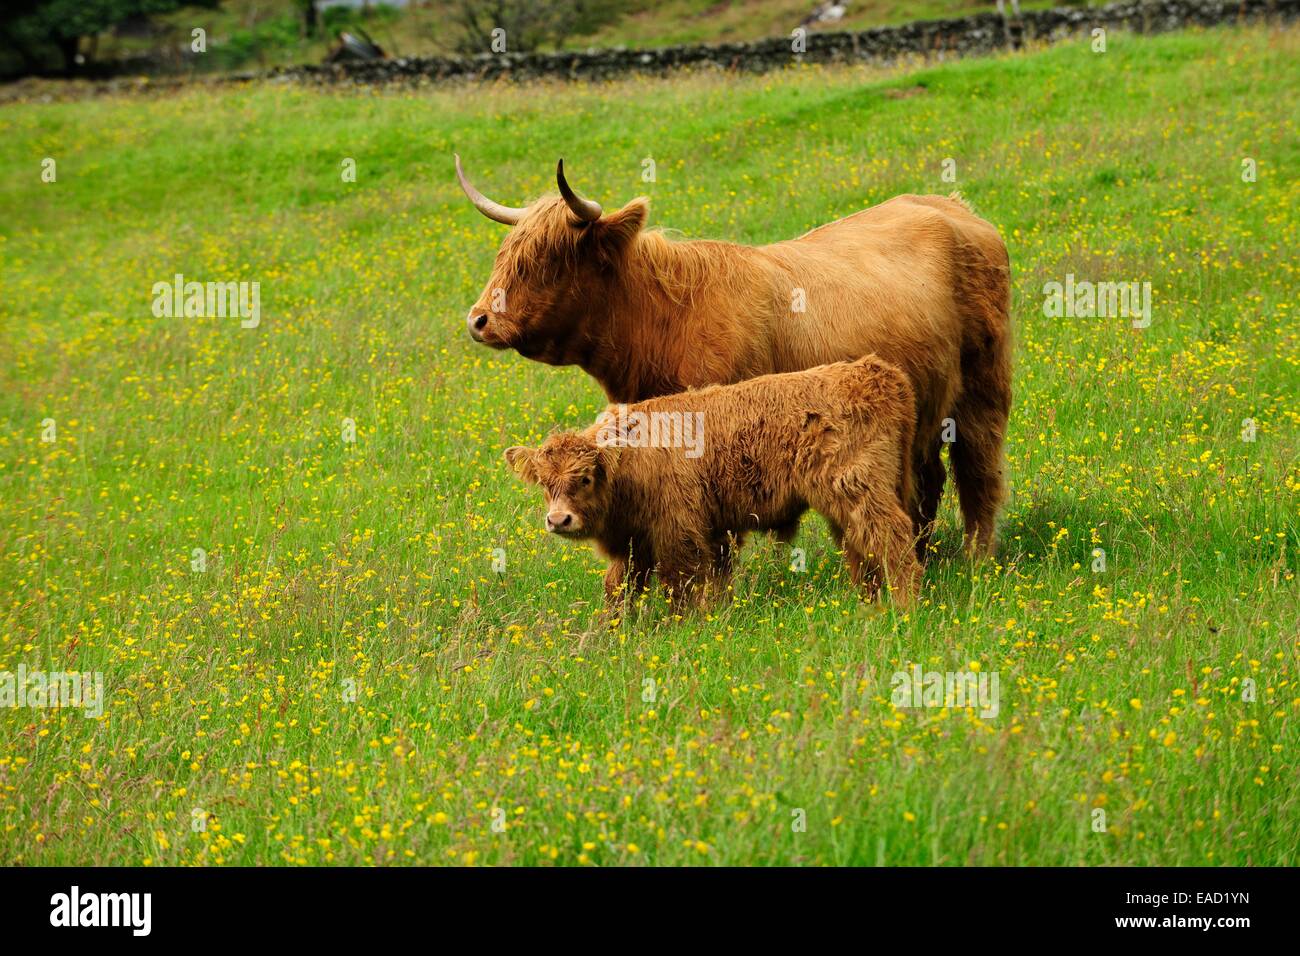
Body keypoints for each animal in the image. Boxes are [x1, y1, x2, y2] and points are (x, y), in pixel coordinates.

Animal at [460, 158, 1013, 561]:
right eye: (505, 253)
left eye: (549, 259)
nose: (479, 319)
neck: (664, 323)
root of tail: (953, 207)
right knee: (928, 480)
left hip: (983, 389)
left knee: (979, 470)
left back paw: (976, 558)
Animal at [501, 356, 920, 608]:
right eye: (544, 484)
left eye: (585, 478)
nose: (558, 520)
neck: (632, 458)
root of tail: (873, 371)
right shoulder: (643, 541)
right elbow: (621, 586)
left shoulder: (679, 532)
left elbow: (681, 584)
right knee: (861, 547)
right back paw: (869, 602)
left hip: (858, 490)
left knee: (892, 539)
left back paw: (903, 606)